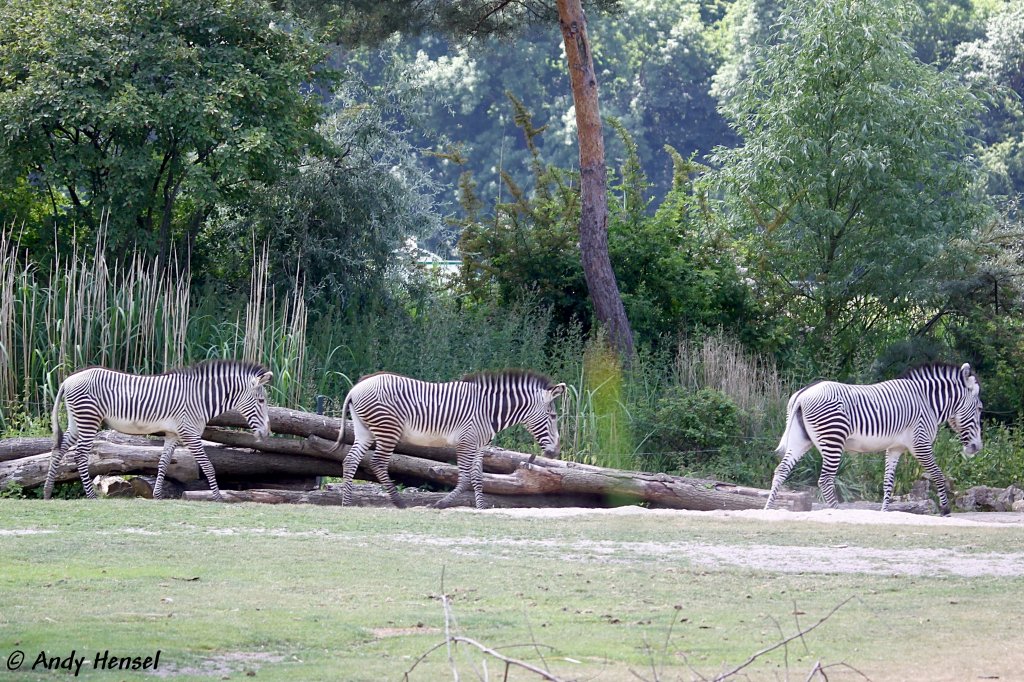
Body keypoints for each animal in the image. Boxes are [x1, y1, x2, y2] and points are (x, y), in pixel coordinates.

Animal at [45, 360, 272, 499]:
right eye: (261, 401)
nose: (267, 433)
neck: (200, 398)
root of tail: (68, 380)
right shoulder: (189, 433)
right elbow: (208, 466)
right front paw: (218, 497)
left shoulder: (173, 434)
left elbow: (163, 463)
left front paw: (157, 495)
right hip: (89, 419)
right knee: (80, 455)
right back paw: (91, 496)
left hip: (77, 421)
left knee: (59, 449)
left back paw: (47, 491)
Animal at [333, 368, 569, 507]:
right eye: (553, 416)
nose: (556, 452)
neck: (488, 411)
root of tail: (355, 388)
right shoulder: (466, 442)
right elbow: (464, 478)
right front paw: (441, 504)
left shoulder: (480, 446)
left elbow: (478, 478)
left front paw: (481, 508)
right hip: (388, 429)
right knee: (378, 462)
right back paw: (399, 502)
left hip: (364, 430)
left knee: (351, 460)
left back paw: (347, 502)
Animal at [765, 360, 978, 516]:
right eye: (979, 409)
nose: (976, 448)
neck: (928, 403)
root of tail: (803, 394)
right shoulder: (921, 443)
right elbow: (938, 474)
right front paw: (945, 509)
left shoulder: (895, 448)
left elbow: (888, 482)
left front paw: (884, 512)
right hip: (833, 439)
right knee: (825, 480)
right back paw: (838, 512)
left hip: (800, 440)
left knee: (781, 470)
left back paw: (768, 508)